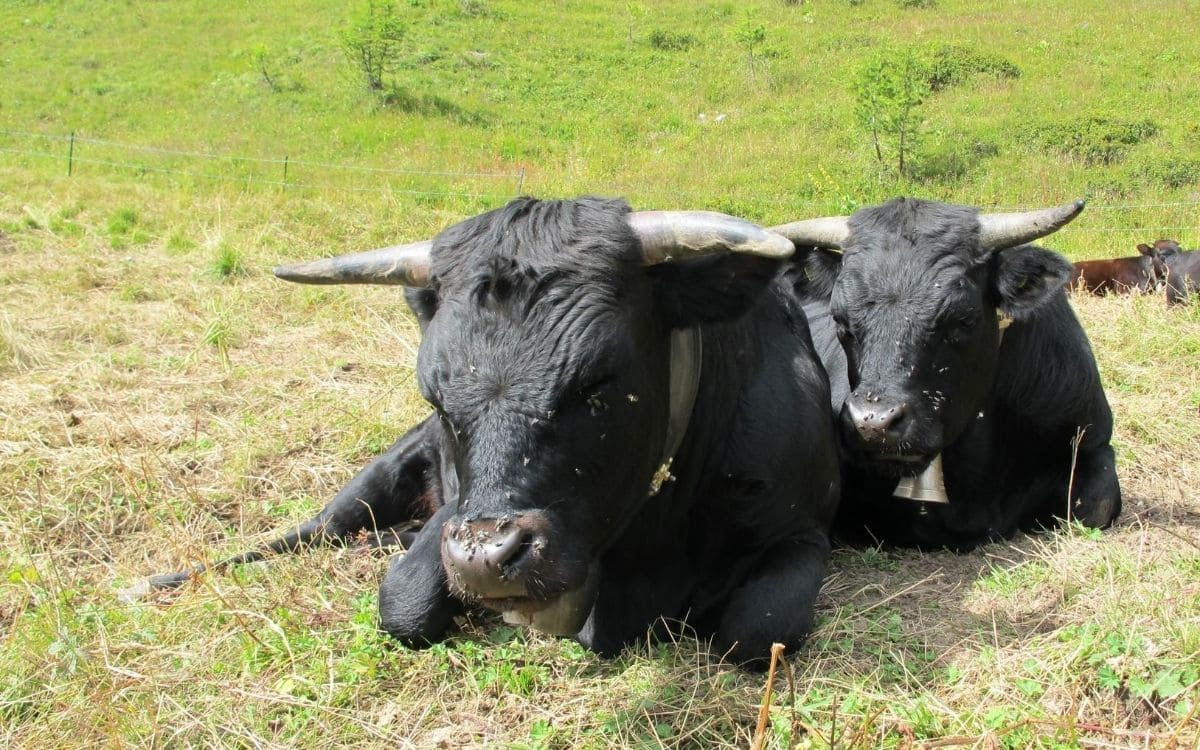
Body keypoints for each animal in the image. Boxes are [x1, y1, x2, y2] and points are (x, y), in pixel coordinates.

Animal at [147, 197, 841, 665]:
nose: (487, 558)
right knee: (313, 529)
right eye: (435, 394)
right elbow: (402, 603)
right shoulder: (451, 511)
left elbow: (757, 631)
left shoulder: (801, 533)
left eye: (597, 382)